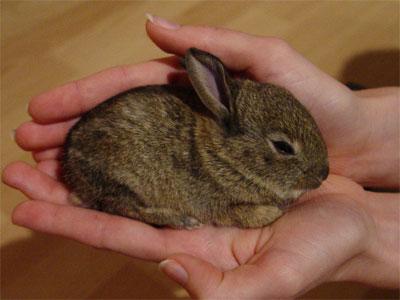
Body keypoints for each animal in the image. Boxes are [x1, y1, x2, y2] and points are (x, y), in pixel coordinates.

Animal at [61, 48, 328, 229]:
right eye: (283, 147)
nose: (324, 174)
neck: (225, 156)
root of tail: (69, 165)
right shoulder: (218, 204)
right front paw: (272, 213)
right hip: (119, 180)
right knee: (125, 207)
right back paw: (182, 220)